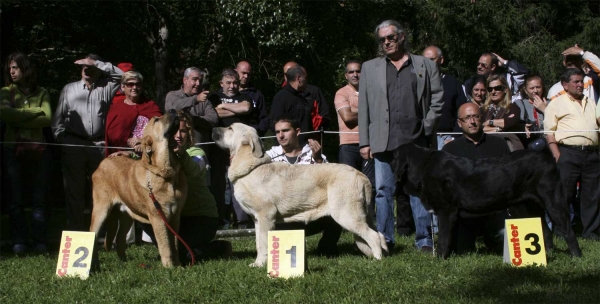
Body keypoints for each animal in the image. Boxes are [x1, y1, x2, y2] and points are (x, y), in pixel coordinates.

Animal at [89, 110, 185, 268]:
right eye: (156, 120)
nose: (172, 110)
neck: (166, 172)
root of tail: (103, 162)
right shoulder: (158, 217)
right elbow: (165, 245)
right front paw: (170, 267)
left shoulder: (175, 216)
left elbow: (175, 243)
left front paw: (179, 265)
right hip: (101, 210)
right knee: (93, 234)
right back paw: (95, 265)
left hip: (127, 214)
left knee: (120, 238)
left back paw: (124, 263)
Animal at [213, 123, 386, 266]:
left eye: (230, 128)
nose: (213, 129)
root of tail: (361, 176)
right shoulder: (257, 219)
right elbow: (258, 243)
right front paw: (258, 263)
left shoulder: (265, 215)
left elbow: (263, 243)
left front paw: (261, 264)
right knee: (380, 235)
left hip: (346, 214)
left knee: (374, 236)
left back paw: (378, 260)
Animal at [390, 144, 580, 258]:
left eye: (393, 158)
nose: (388, 162)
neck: (423, 167)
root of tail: (549, 159)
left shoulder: (446, 211)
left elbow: (443, 237)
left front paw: (440, 258)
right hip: (527, 207)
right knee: (545, 231)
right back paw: (547, 255)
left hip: (553, 202)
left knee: (568, 231)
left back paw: (576, 257)